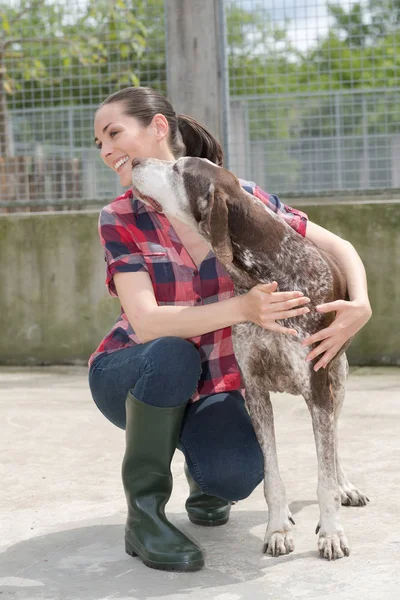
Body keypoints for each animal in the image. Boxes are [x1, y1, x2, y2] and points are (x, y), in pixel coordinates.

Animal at [131, 157, 368, 560]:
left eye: (178, 169)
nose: (134, 161)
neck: (267, 275)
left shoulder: (318, 390)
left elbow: (324, 477)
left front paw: (331, 533)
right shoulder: (255, 391)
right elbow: (271, 475)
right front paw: (277, 529)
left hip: (338, 378)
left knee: (334, 448)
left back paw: (345, 487)